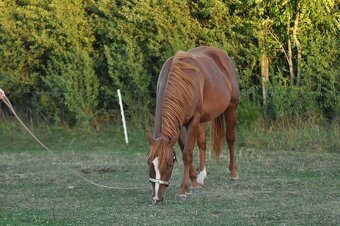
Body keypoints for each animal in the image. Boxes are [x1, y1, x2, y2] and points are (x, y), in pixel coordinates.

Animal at [146, 46, 239, 205]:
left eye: (169, 164)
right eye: (150, 163)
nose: (156, 197)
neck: (181, 83)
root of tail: (221, 54)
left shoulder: (193, 120)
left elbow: (187, 154)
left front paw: (183, 190)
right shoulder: (180, 124)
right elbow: (185, 148)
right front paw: (195, 182)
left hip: (231, 108)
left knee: (230, 139)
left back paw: (233, 174)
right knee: (202, 143)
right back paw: (201, 176)